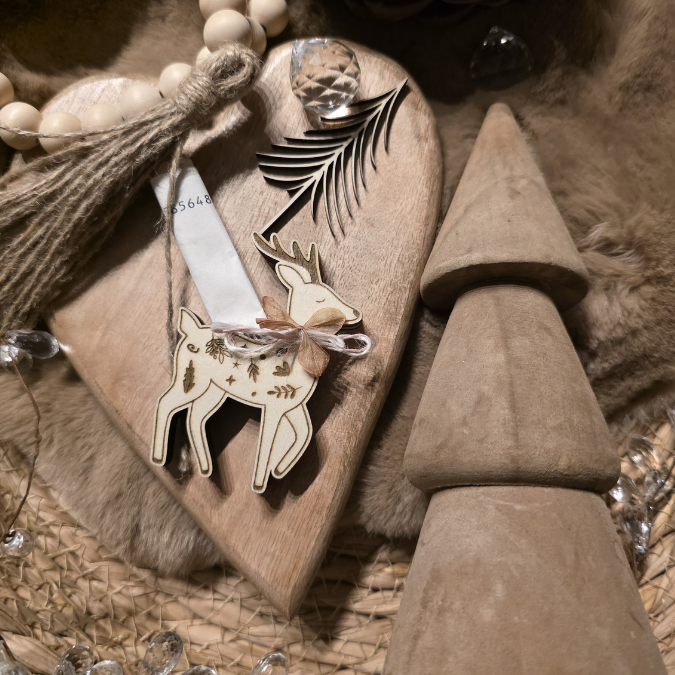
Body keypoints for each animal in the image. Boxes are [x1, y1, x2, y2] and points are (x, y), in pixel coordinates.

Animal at [151, 233, 363, 493]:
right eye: (321, 297)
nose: (355, 312)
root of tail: (188, 329)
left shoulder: (291, 404)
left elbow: (304, 433)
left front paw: (279, 469)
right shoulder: (272, 404)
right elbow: (267, 443)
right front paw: (260, 483)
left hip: (214, 391)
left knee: (194, 418)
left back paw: (205, 467)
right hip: (191, 379)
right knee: (166, 402)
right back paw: (160, 456)